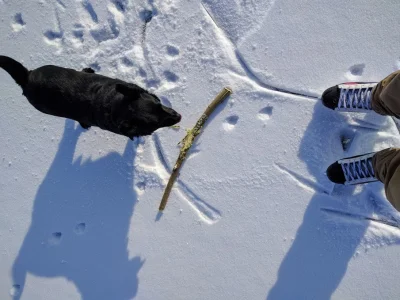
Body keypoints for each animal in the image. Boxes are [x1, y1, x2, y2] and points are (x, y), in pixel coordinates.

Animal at [0, 55, 181, 139]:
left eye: (159, 103)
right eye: (155, 124)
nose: (179, 116)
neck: (113, 103)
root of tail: (26, 77)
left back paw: (87, 70)